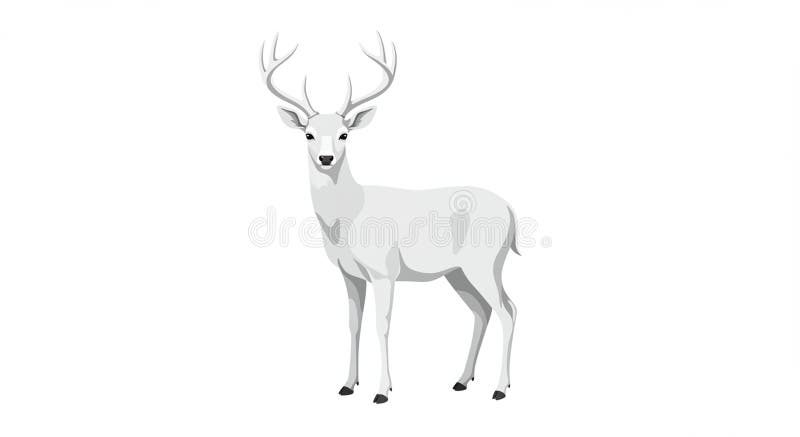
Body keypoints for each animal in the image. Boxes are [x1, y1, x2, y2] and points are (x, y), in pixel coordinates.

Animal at [259, 33, 519, 403]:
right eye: (308, 134)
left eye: (345, 134)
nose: (326, 158)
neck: (349, 217)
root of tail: (511, 211)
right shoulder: (349, 274)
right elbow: (353, 325)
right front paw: (347, 385)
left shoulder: (384, 270)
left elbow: (382, 326)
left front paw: (383, 391)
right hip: (458, 273)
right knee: (481, 311)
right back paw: (461, 380)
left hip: (486, 263)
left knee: (508, 310)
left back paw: (500, 388)